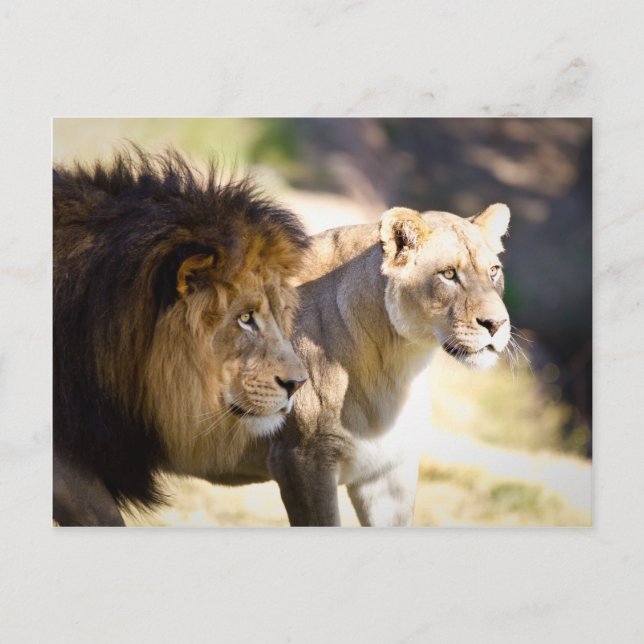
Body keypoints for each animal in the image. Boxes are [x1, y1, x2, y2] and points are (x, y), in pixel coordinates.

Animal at [215, 204, 512, 526]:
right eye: (448, 274)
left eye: (493, 271)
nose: (497, 324)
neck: (398, 363)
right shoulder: (300, 461)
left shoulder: (387, 472)